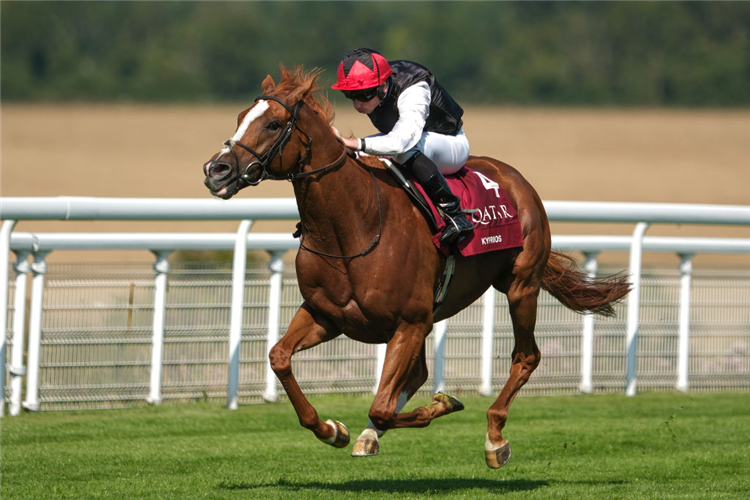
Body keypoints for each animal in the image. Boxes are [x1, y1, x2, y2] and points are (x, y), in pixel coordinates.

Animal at [203, 67, 632, 468]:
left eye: (273, 124)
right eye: (240, 116)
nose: (216, 170)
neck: (354, 226)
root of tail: (515, 178)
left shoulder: (409, 322)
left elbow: (382, 406)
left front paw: (441, 405)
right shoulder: (329, 316)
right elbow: (280, 358)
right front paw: (333, 430)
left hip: (520, 286)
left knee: (525, 357)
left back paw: (495, 438)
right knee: (419, 374)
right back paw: (370, 436)